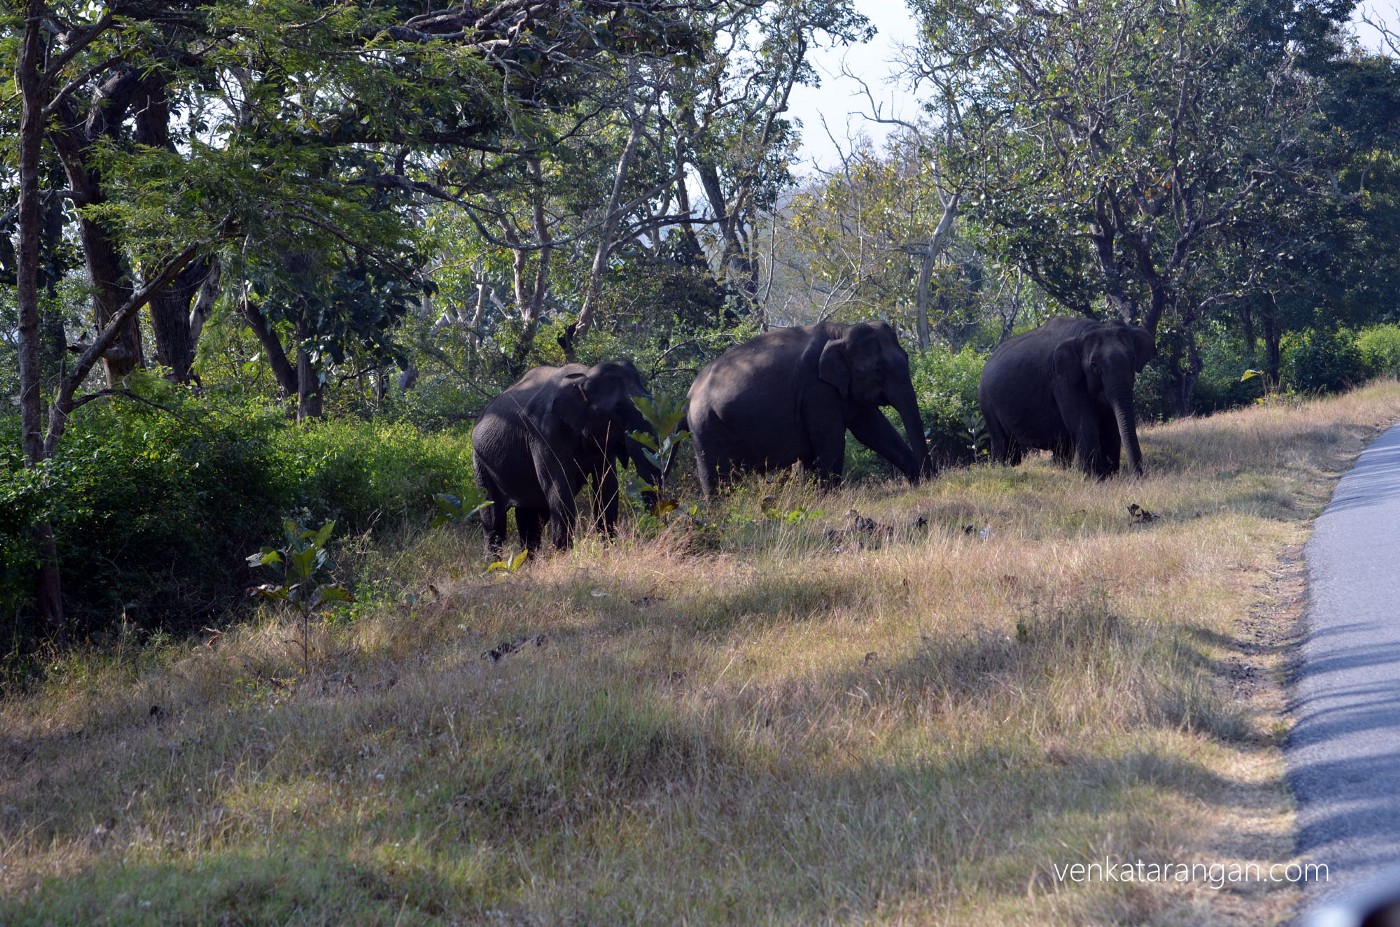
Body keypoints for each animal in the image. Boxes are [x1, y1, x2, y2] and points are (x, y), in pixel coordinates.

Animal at [472, 360, 658, 554]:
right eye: (618, 410)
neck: (584, 376)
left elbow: (607, 487)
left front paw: (608, 550)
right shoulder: (544, 432)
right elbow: (559, 487)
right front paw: (564, 555)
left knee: (532, 518)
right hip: (481, 463)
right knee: (494, 520)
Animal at [686, 321, 934, 497]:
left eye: (906, 357)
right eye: (878, 370)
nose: (930, 480)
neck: (841, 332)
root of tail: (689, 394)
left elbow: (875, 431)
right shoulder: (816, 390)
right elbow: (833, 440)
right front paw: (829, 499)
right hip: (705, 426)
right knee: (714, 474)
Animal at [978, 317, 1156, 478]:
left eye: (1133, 359)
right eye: (1094, 365)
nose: (1138, 477)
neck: (1087, 331)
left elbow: (1111, 424)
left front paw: (1110, 475)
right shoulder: (1062, 380)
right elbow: (1083, 423)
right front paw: (1096, 478)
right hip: (987, 403)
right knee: (1002, 443)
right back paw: (1002, 468)